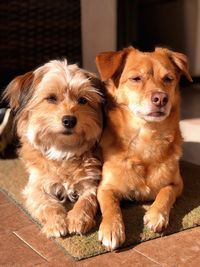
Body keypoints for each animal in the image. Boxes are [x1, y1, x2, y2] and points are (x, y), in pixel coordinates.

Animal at [4, 59, 104, 238]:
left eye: (83, 100)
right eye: (51, 98)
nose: (69, 120)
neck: (63, 150)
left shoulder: (91, 182)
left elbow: (86, 201)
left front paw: (78, 219)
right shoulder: (36, 185)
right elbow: (47, 204)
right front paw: (56, 223)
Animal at [95, 46, 192, 251]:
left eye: (168, 78)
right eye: (136, 79)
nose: (161, 98)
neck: (146, 139)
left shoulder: (177, 183)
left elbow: (166, 193)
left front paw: (156, 215)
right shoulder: (105, 188)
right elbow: (110, 205)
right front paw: (111, 228)